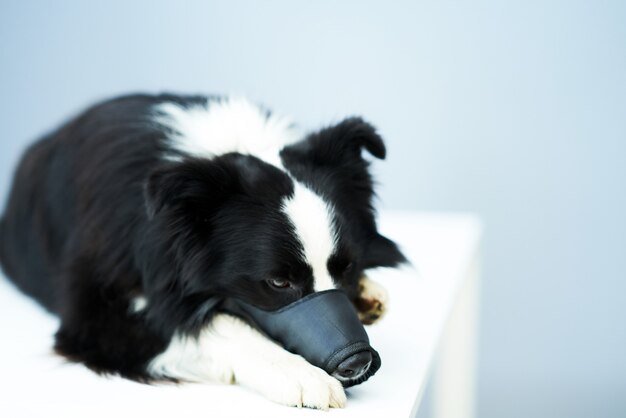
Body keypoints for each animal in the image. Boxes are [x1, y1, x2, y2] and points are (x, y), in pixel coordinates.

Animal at [0, 94, 404, 408]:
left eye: (347, 267)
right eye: (278, 283)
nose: (356, 361)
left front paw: (366, 292)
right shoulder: (95, 311)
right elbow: (206, 326)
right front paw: (299, 374)